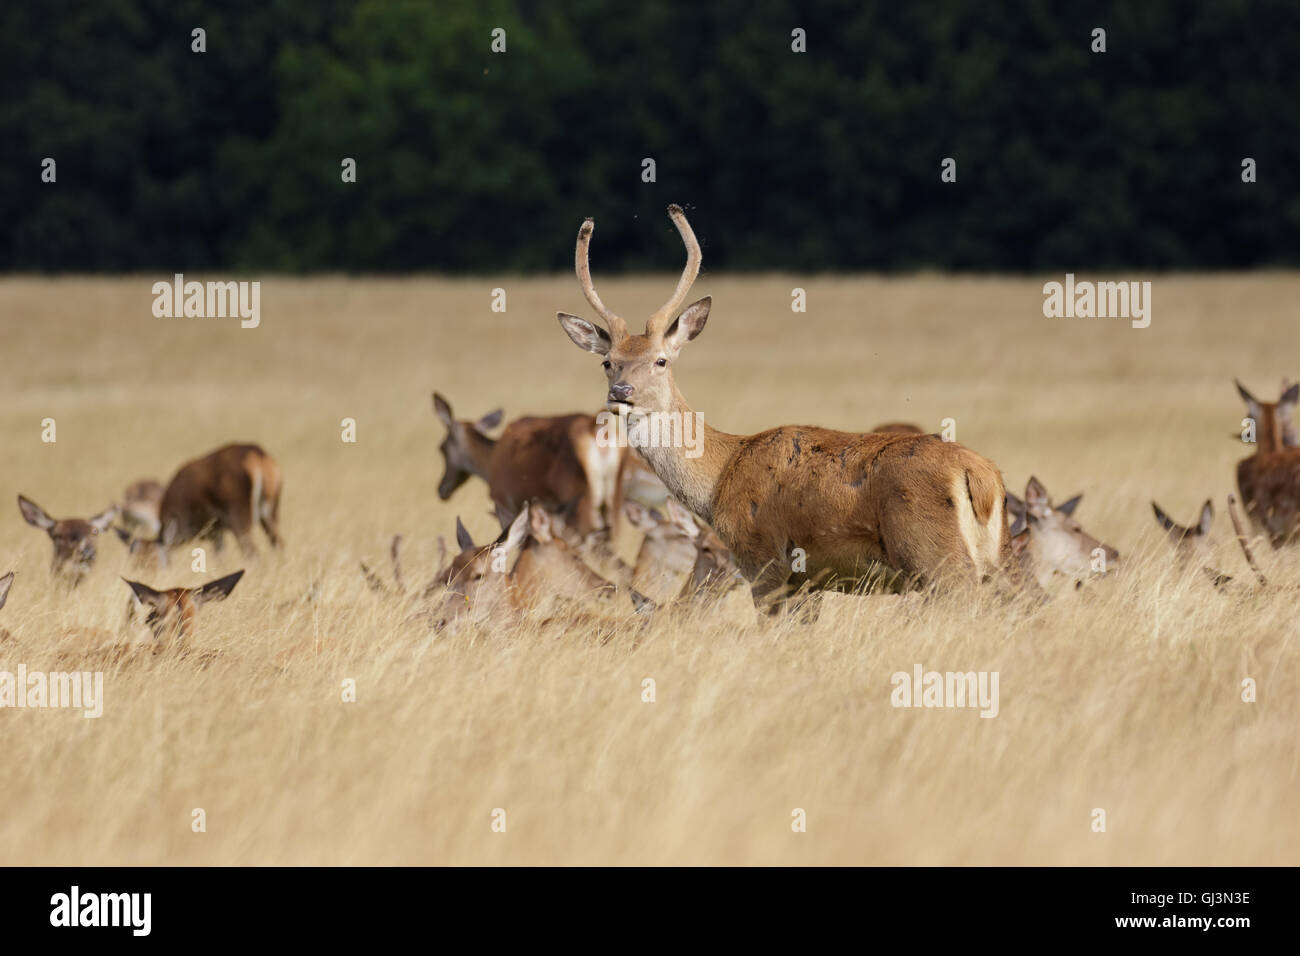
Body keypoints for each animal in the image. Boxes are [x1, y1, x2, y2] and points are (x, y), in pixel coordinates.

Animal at [431, 395, 624, 546]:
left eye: (442, 448)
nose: (442, 489)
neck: (490, 460)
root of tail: (594, 428)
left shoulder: (504, 504)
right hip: (611, 504)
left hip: (581, 502)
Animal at [553, 205, 1008, 616]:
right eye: (607, 361)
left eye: (661, 360)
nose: (622, 391)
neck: (719, 481)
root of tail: (983, 478)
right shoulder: (808, 583)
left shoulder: (764, 560)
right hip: (990, 561)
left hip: (936, 558)